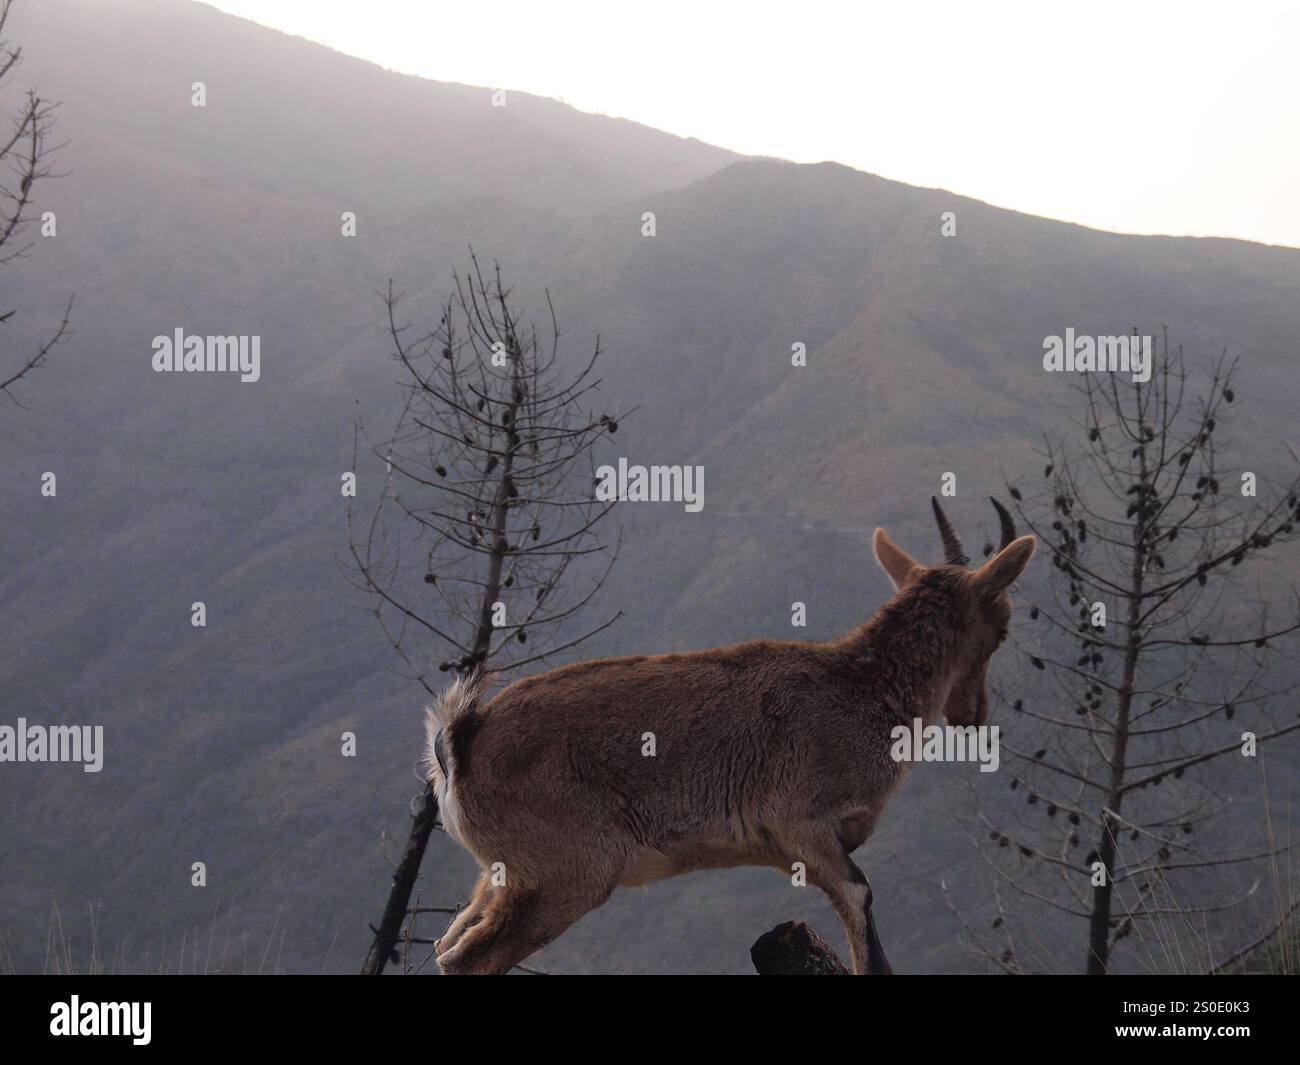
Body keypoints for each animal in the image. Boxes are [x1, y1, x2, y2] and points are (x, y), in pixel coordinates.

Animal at [424, 498, 1034, 974]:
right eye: (1002, 625)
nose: (973, 716)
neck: (863, 688)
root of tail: (459, 742)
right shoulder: (803, 821)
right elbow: (860, 902)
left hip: (503, 876)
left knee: (448, 942)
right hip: (563, 874)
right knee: (469, 959)